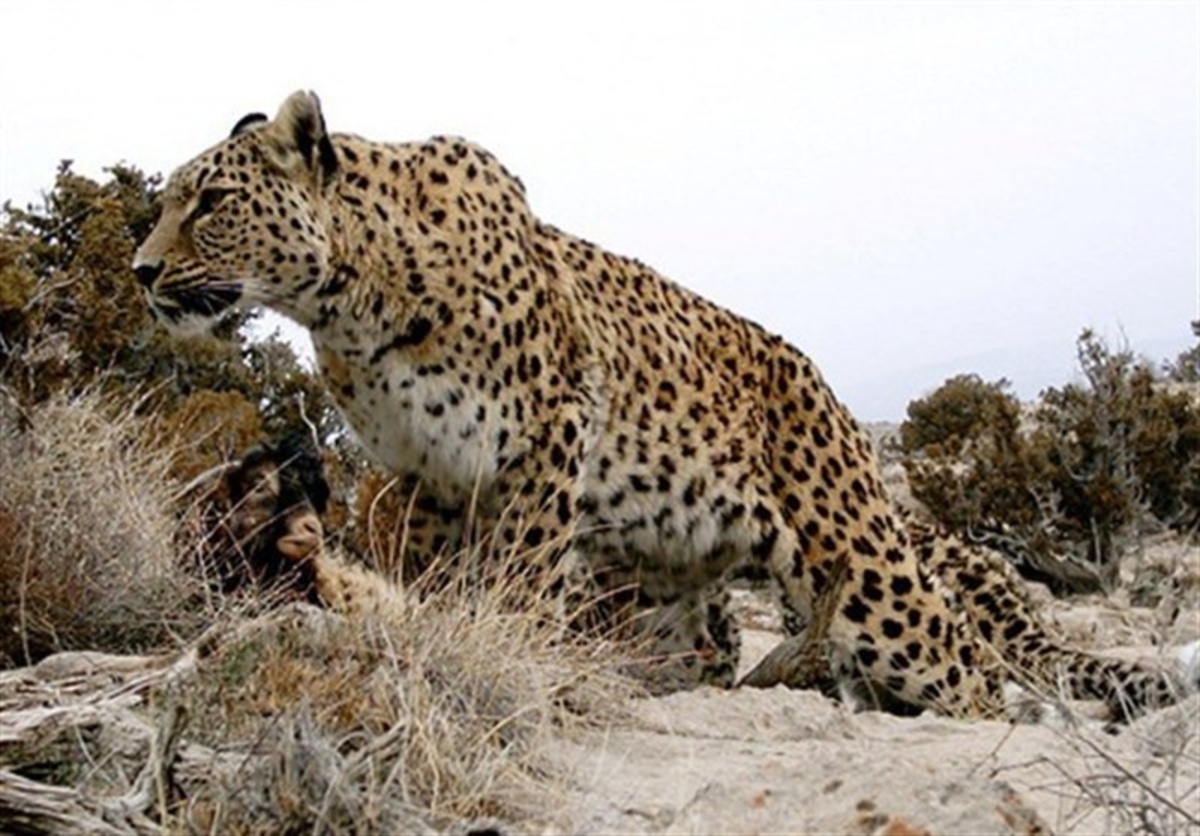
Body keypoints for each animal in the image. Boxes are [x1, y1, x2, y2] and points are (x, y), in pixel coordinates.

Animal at [136, 89, 1185, 719]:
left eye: (210, 201)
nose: (143, 270)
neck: (353, 300)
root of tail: (830, 393)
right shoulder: (421, 474)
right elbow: (432, 577)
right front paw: (439, 637)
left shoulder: (546, 435)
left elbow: (520, 574)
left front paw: (504, 652)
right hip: (667, 590)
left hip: (863, 568)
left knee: (966, 662)